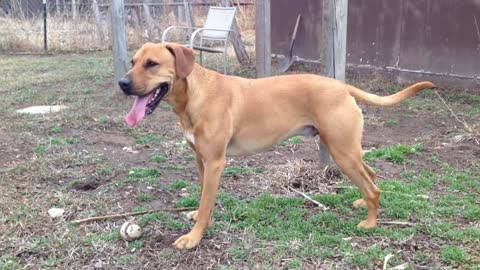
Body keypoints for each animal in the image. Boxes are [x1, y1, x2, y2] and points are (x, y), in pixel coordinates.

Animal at [119, 42, 436, 249]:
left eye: (152, 64)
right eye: (133, 62)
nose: (122, 83)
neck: (194, 95)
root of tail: (341, 86)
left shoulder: (215, 163)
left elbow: (208, 202)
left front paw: (194, 237)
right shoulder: (201, 160)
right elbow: (201, 197)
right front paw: (197, 214)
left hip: (342, 152)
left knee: (373, 187)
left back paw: (370, 223)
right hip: (348, 150)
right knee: (371, 175)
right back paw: (361, 203)